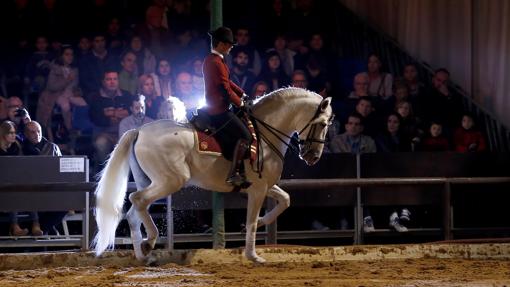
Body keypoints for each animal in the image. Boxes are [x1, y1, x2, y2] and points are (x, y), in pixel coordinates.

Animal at [93, 87, 332, 264]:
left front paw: (262, 221)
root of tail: (140, 130)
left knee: (134, 211)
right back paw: (149, 241)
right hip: (170, 181)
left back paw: (144, 255)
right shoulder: (257, 189)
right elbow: (252, 221)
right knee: (137, 200)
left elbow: (285, 200)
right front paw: (253, 256)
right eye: (322, 124)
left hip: (150, 181)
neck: (264, 134)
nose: (313, 156)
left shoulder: (265, 185)